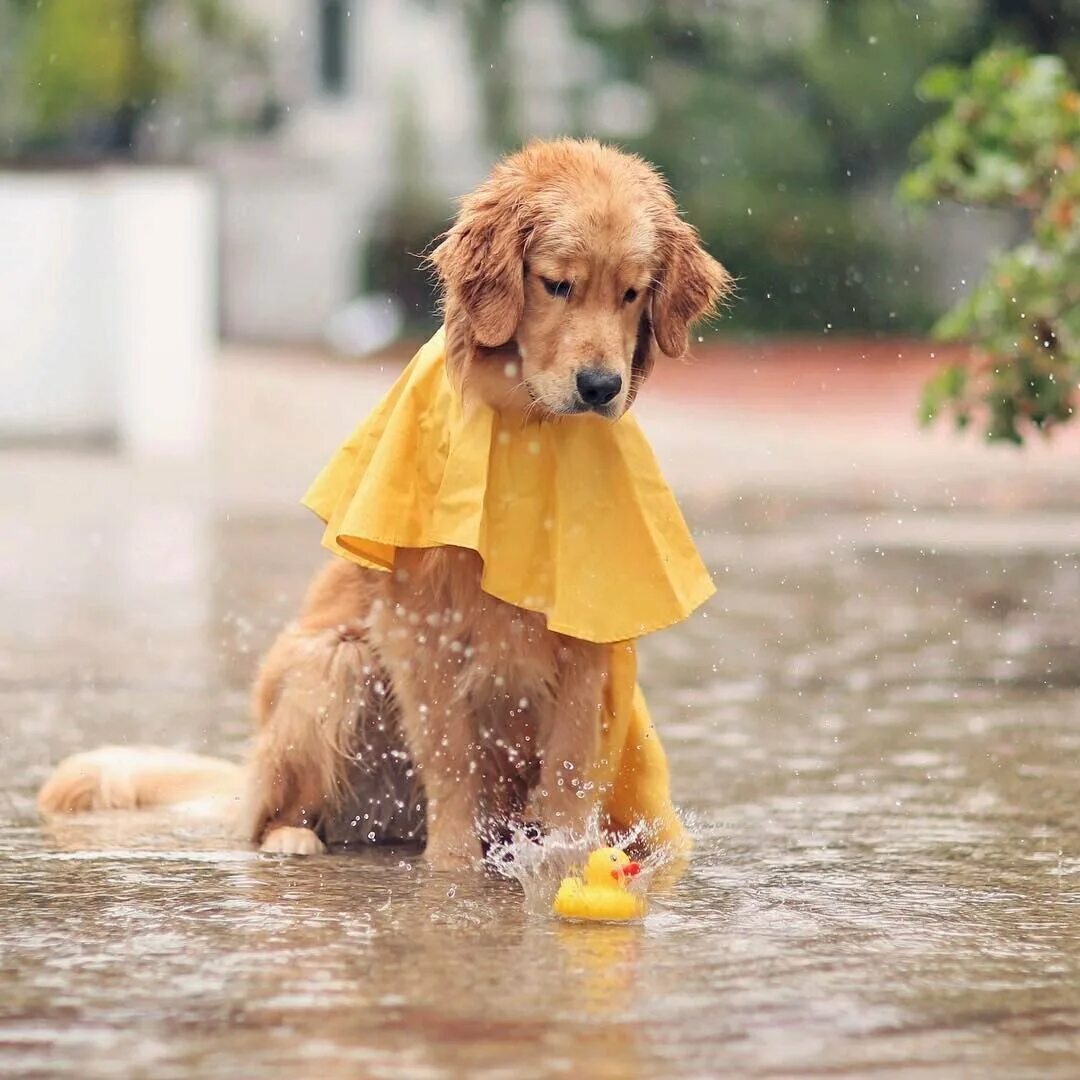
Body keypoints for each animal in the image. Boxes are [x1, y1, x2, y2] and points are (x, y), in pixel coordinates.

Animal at [38, 141, 730, 868]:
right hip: (330, 667)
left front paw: (563, 860)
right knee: (273, 814)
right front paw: (454, 864)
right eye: (556, 284)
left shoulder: (586, 638)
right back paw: (293, 838)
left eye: (632, 293)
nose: (600, 386)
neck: (526, 429)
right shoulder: (418, 624)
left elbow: (568, 767)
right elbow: (451, 757)